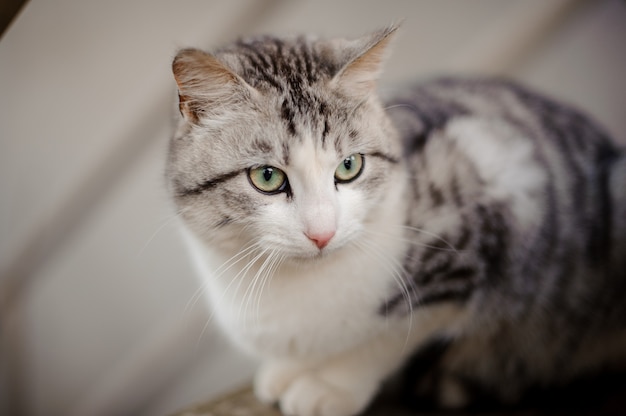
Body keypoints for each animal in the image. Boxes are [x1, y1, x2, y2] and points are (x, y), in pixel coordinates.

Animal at [166, 25, 624, 416]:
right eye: (266, 177)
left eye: (349, 166)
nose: (322, 233)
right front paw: (288, 369)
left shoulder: (490, 202)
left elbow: (392, 331)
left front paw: (331, 385)